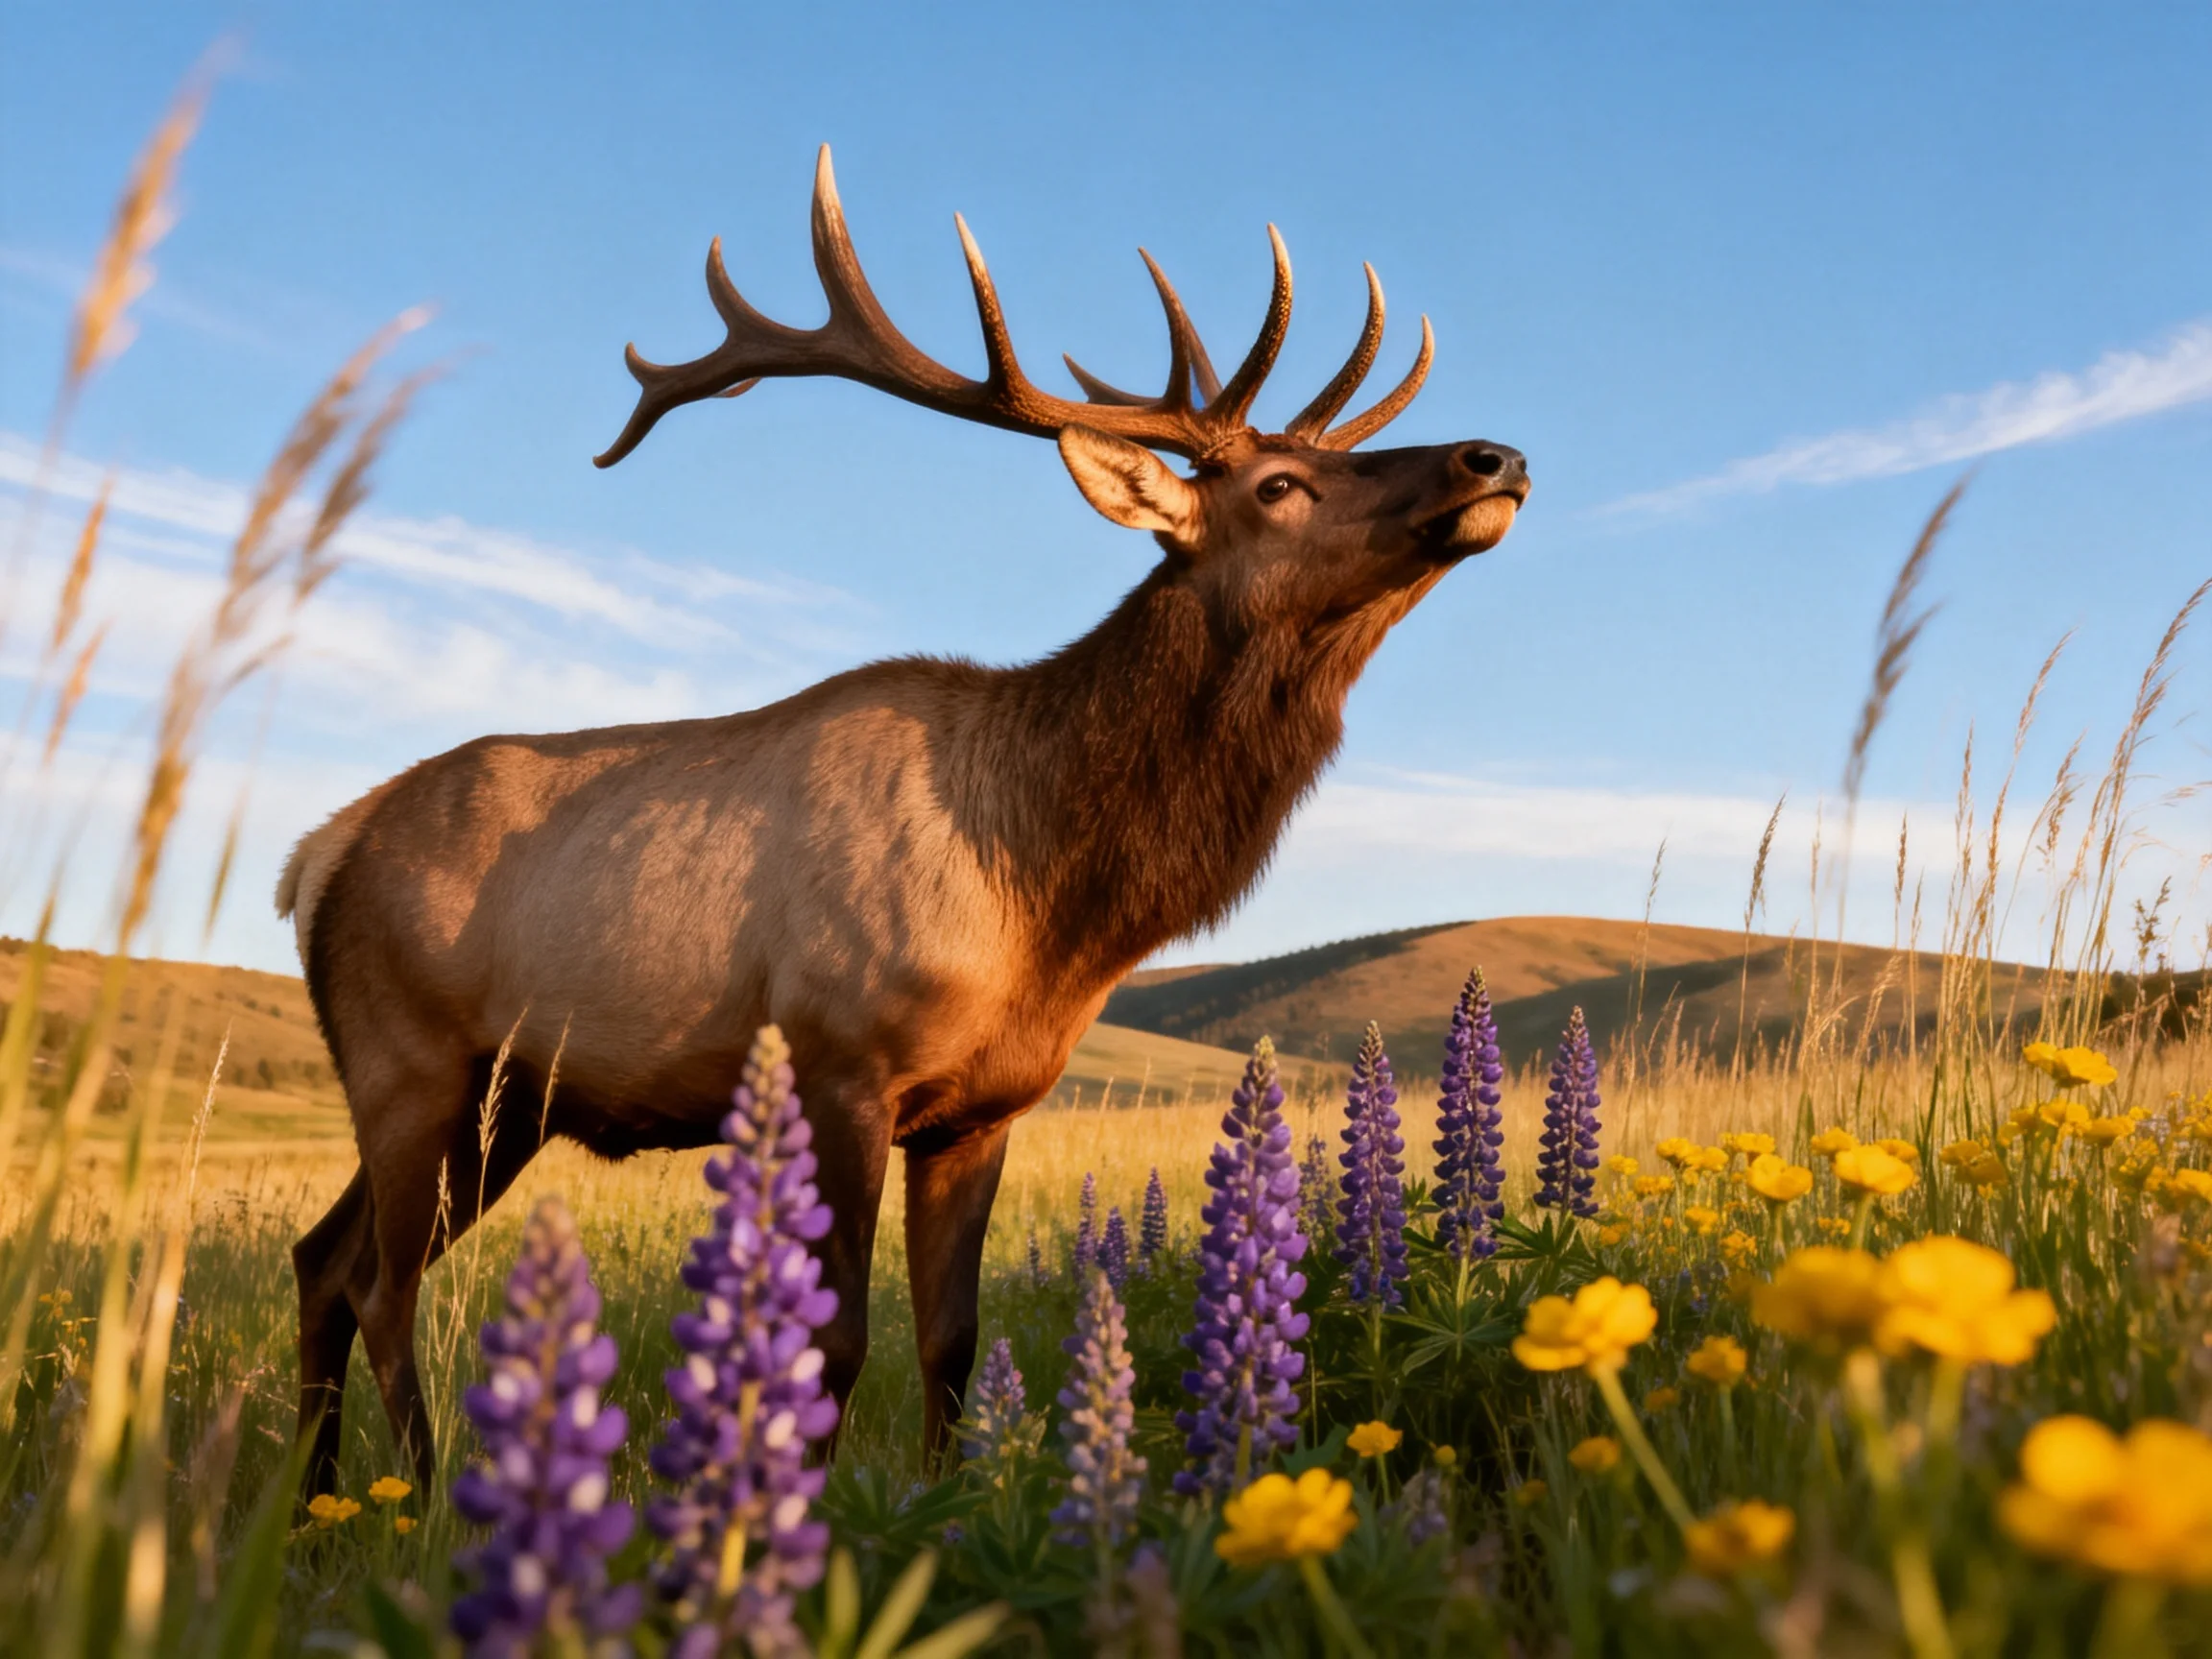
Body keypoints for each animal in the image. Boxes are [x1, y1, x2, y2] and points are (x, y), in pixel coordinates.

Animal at [282, 147, 1527, 1492]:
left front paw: (941, 1502)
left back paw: (313, 1504)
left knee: (319, 1258)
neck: (1047, 899)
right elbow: (836, 1345)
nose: (1494, 456)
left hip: (502, 1106)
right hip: (412, 1065)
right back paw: (422, 1495)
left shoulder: (982, 1108)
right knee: (377, 1281)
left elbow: (952, 1337)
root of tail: (316, 858)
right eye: (1279, 485)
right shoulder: (840, 1056)